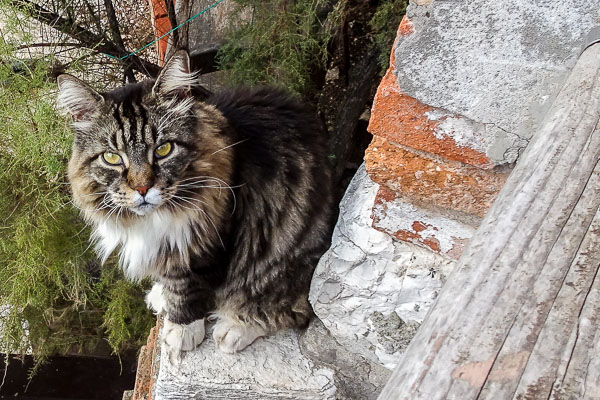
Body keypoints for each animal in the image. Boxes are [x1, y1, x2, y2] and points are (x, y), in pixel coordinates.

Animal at [56, 49, 332, 362]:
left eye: (163, 150)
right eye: (112, 158)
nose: (142, 189)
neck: (155, 218)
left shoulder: (206, 244)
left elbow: (187, 290)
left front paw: (181, 331)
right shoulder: (167, 246)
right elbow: (168, 278)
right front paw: (162, 296)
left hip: (283, 258)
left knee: (288, 308)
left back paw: (234, 329)